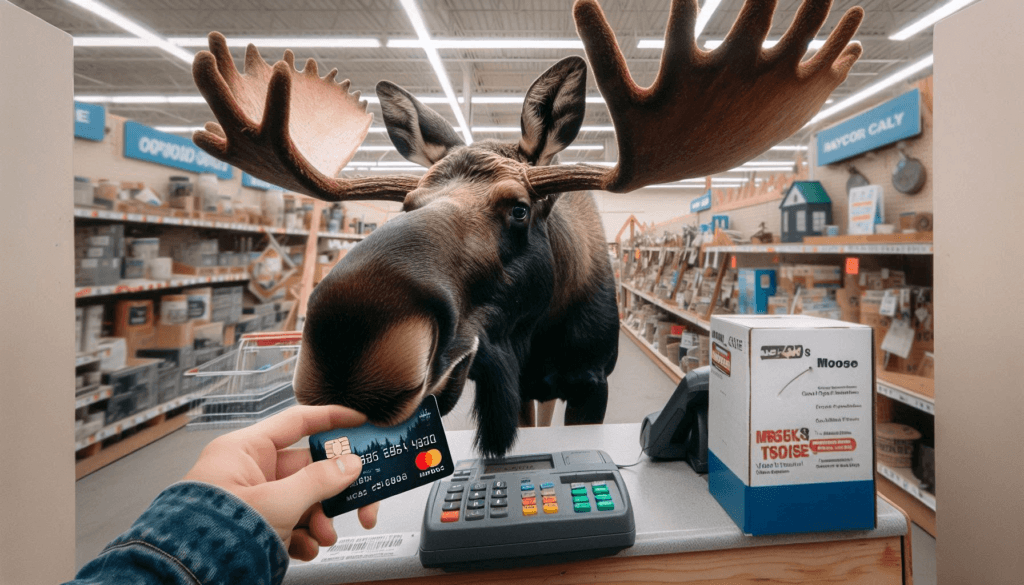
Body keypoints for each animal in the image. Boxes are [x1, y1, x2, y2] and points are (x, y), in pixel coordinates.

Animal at [192, 0, 864, 456]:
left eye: (518, 208)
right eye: (407, 202)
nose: (347, 337)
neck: (535, 333)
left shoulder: (591, 383)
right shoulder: (489, 383)